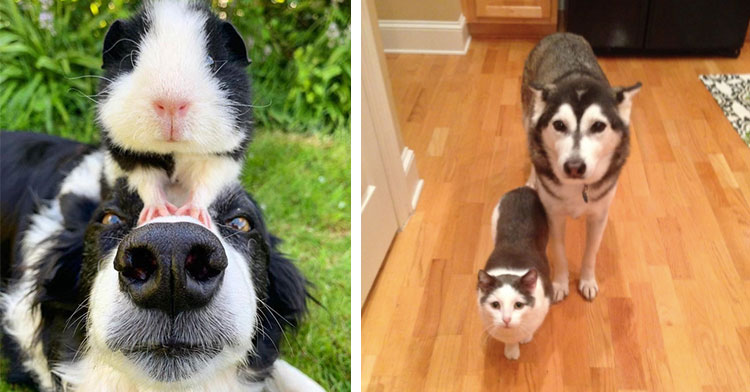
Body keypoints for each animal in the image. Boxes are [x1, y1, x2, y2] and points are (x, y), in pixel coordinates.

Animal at [482, 185, 552, 360]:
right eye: (495, 305)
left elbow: (530, 328)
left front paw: (525, 337)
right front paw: (511, 350)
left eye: (518, 305)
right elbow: (509, 340)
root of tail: (524, 188)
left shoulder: (544, 305)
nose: (506, 319)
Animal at [524, 34, 640, 304]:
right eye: (559, 125)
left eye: (598, 126)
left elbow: (591, 252)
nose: (574, 167)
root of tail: (560, 34)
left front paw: (586, 281)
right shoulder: (554, 215)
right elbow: (558, 251)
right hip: (527, 115)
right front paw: (559, 283)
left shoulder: (599, 215)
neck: (577, 188)